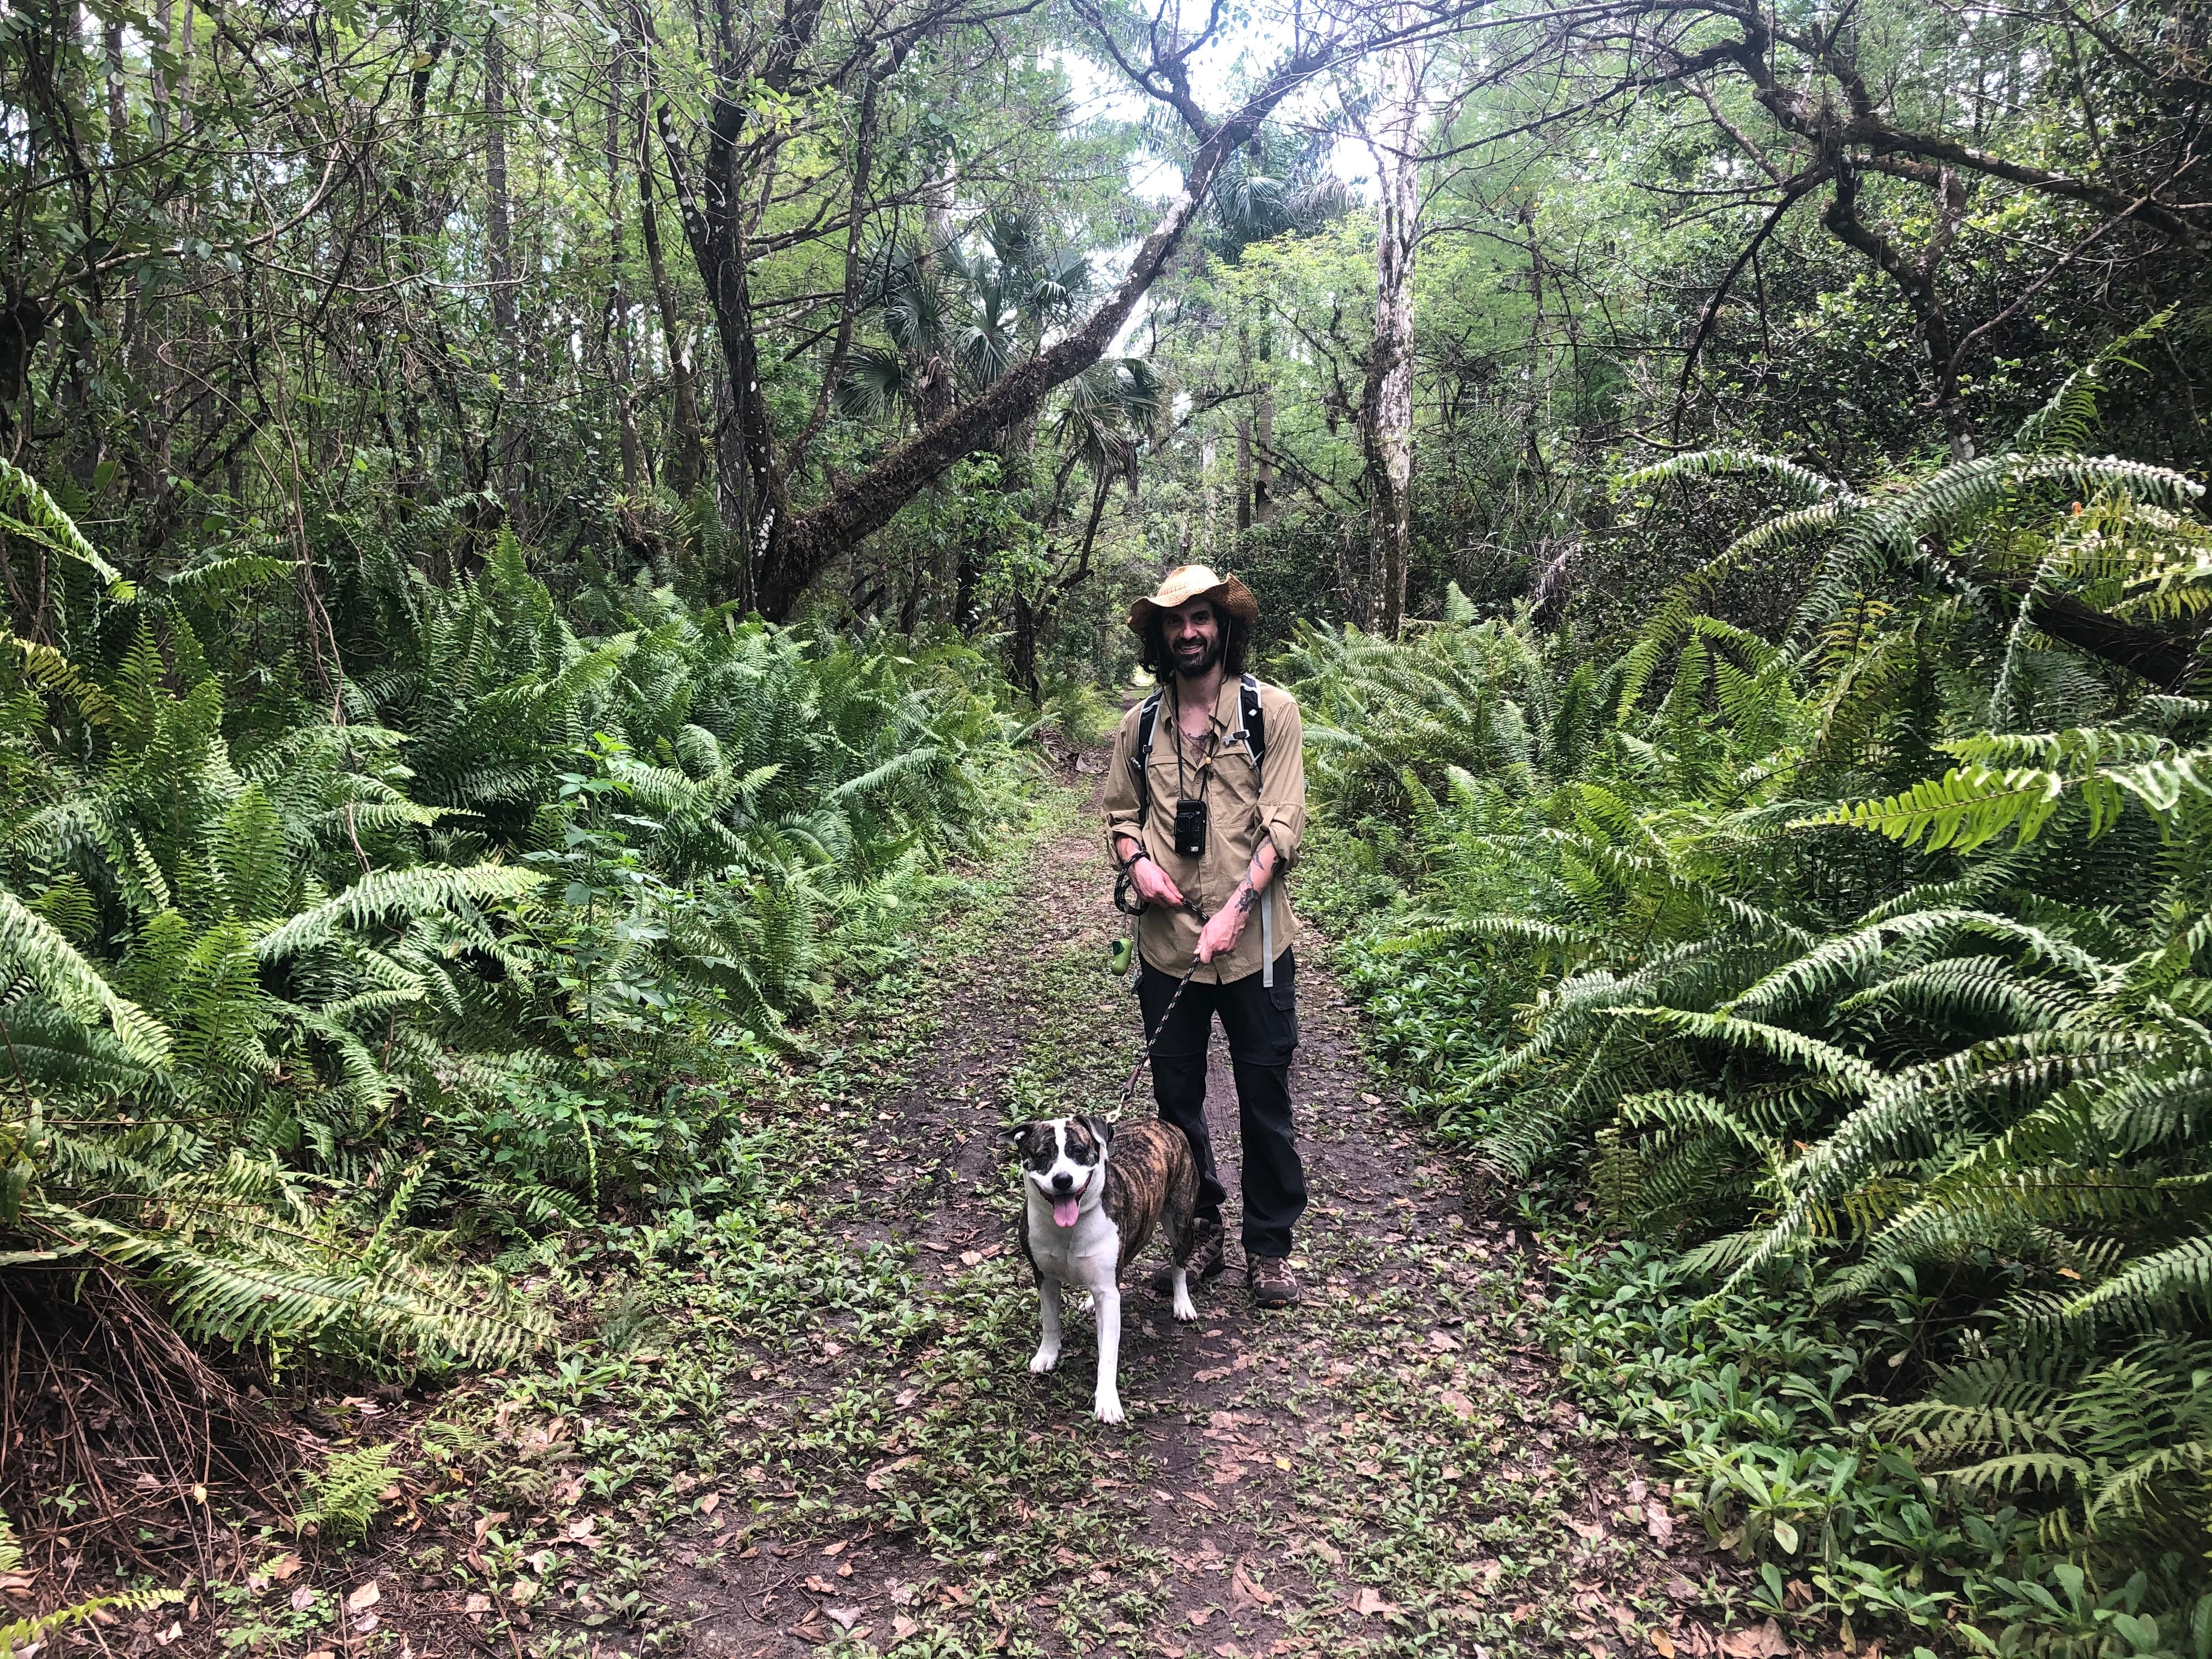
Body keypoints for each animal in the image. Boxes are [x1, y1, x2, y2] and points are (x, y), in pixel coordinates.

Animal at [1008, 1110, 1203, 1424]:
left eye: (1078, 1151)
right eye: (1042, 1155)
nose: (1063, 1179)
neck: (1070, 1227)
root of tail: (1160, 1123)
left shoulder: (1110, 1297)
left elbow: (1108, 1354)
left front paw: (1108, 1401)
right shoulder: (1045, 1278)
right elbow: (1050, 1321)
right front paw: (1048, 1354)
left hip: (1180, 1223)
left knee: (1179, 1262)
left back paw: (1182, 1302)